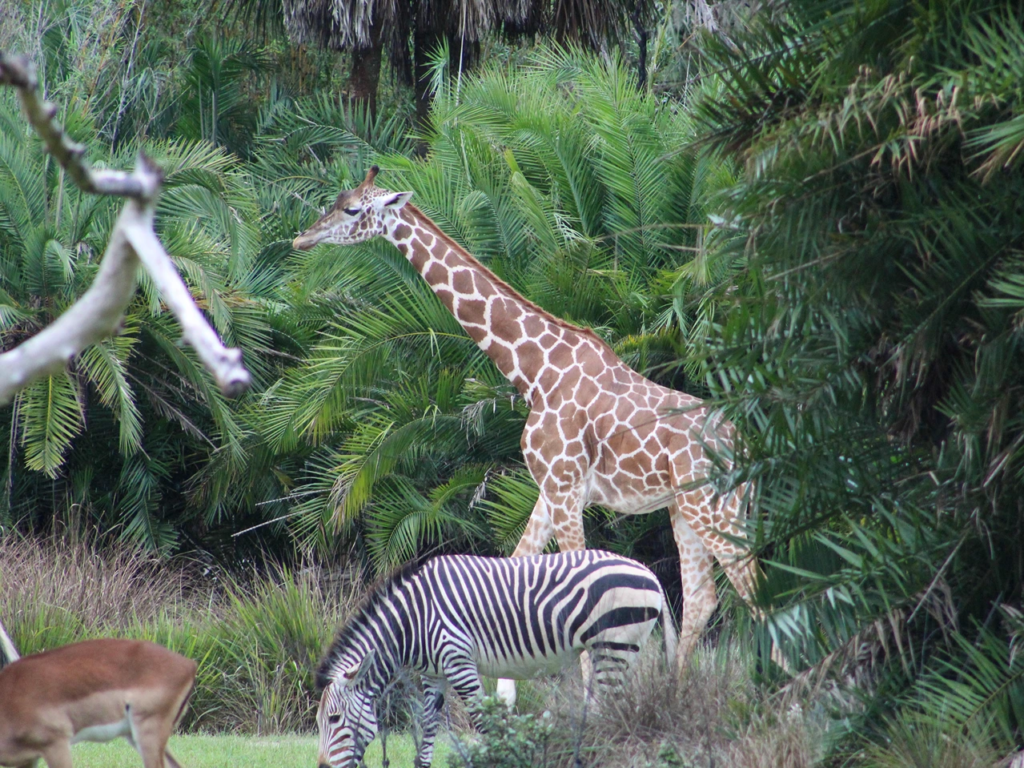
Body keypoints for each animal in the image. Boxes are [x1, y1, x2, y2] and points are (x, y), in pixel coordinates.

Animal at [292, 167, 762, 691]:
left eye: (353, 208)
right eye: (337, 200)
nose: (301, 237)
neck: (535, 372)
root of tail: (745, 442)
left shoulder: (566, 487)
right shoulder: (549, 489)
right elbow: (515, 567)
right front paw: (501, 698)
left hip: (715, 508)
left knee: (754, 591)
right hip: (686, 509)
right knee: (703, 599)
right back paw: (679, 695)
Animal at [315, 550, 677, 768]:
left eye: (333, 719)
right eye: (319, 722)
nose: (320, 766)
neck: (413, 620)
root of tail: (650, 574)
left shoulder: (459, 662)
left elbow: (483, 722)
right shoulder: (434, 674)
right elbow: (428, 725)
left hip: (614, 646)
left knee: (611, 710)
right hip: (617, 650)